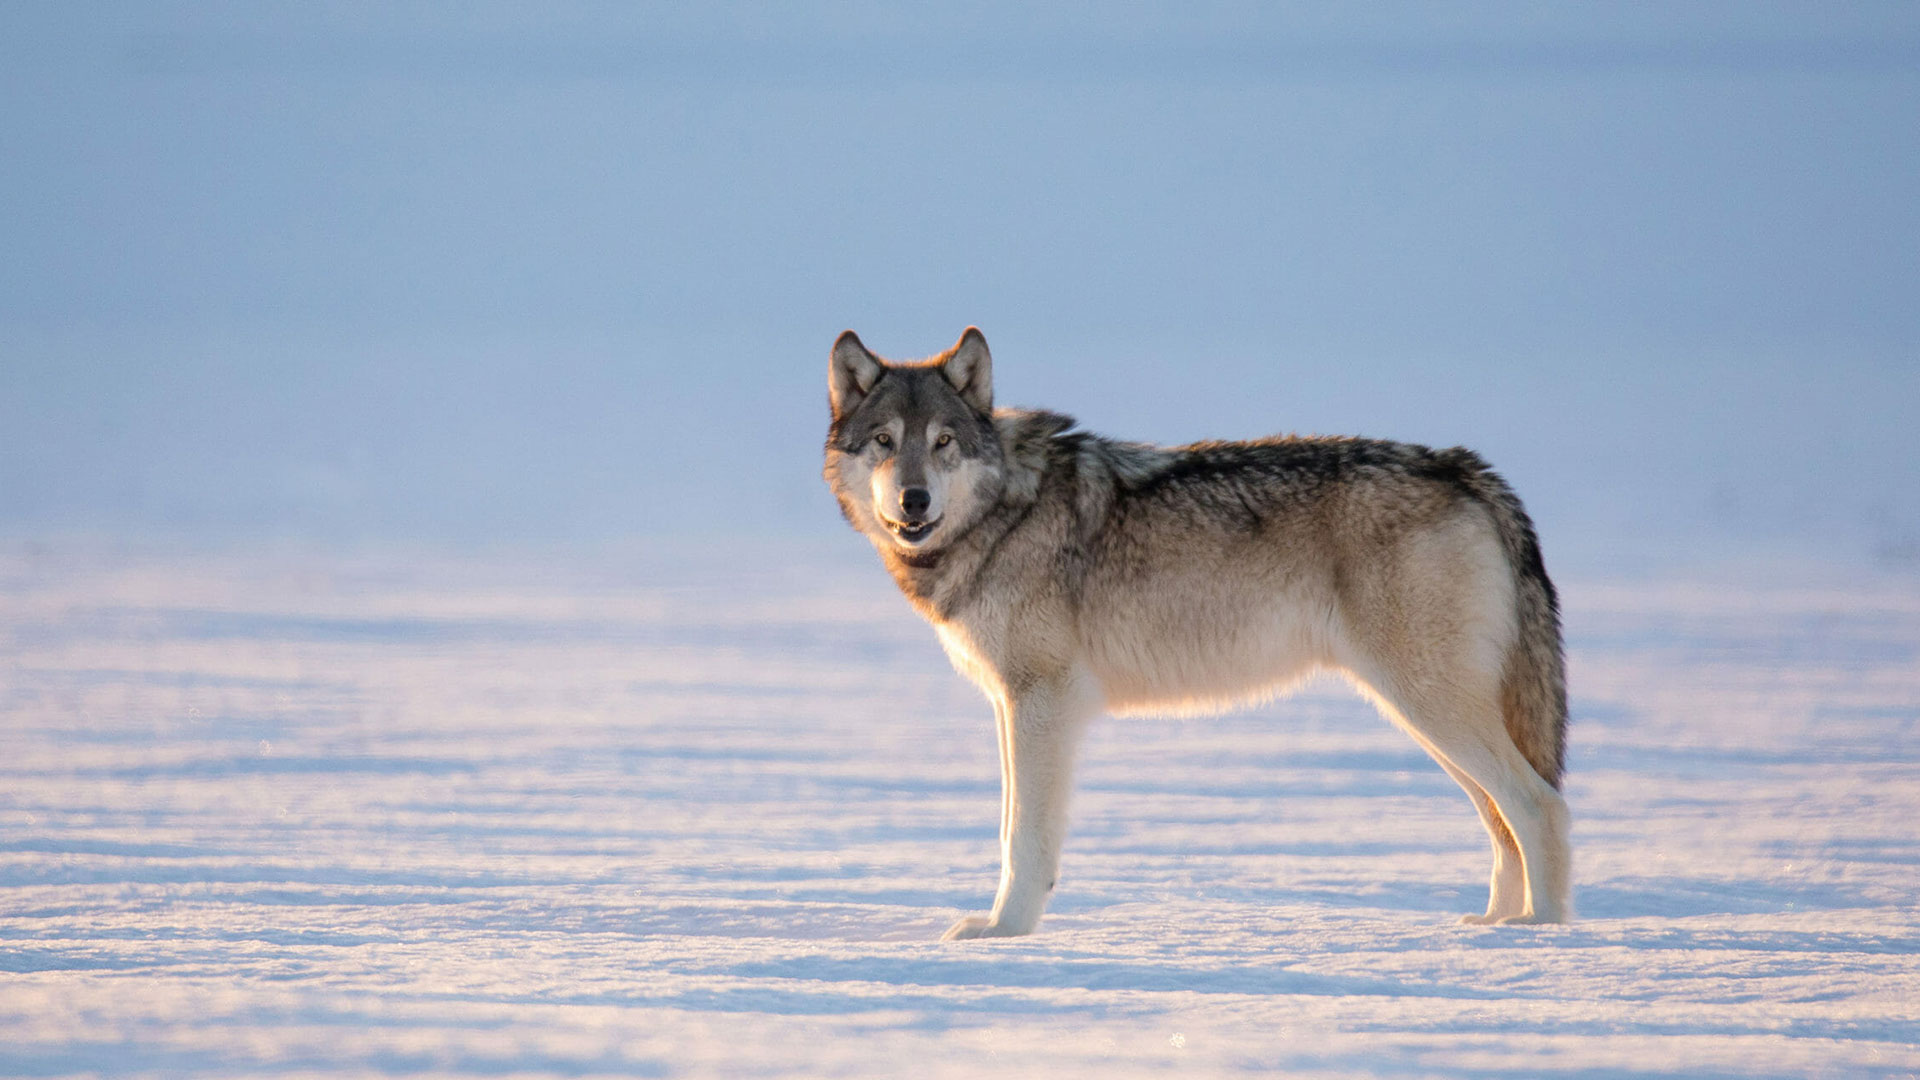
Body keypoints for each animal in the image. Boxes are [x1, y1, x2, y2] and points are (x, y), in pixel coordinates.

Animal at [822, 327, 1572, 939]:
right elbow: (1011, 827)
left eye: (943, 442)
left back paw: (1542, 936)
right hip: (1426, 719)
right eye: (885, 441)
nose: (913, 500)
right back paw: (1493, 928)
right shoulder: (1011, 705)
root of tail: (1463, 467)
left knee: (1541, 806)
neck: (1006, 509)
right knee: (1502, 821)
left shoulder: (1040, 702)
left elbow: (1023, 837)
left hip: (1429, 707)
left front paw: (1006, 933)